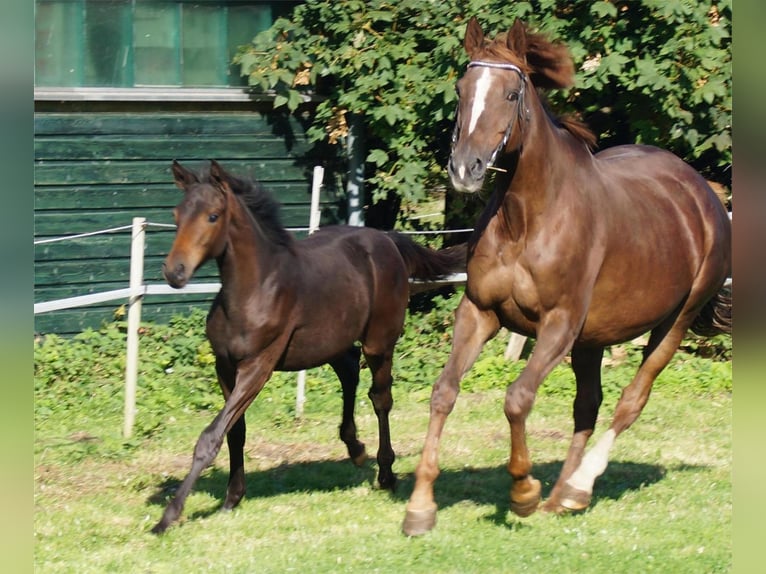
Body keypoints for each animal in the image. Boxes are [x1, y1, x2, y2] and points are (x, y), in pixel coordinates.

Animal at [149, 159, 462, 536]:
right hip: (331, 340)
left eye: (213, 216)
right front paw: (232, 497)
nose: (174, 272)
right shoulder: (224, 366)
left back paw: (386, 473)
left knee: (380, 397)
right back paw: (355, 448)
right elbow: (234, 431)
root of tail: (385, 238)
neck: (254, 288)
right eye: (176, 214)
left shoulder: (258, 366)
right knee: (349, 370)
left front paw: (169, 516)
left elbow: (210, 437)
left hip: (379, 342)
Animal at [402, 19, 732, 540]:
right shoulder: (479, 313)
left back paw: (577, 486)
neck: (527, 220)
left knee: (630, 401)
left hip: (674, 322)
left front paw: (523, 493)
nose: (464, 170)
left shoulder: (558, 324)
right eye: (461, 88)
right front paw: (420, 507)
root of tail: (705, 194)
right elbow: (444, 392)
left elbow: (517, 399)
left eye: (512, 93)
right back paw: (561, 495)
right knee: (588, 405)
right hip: (593, 338)